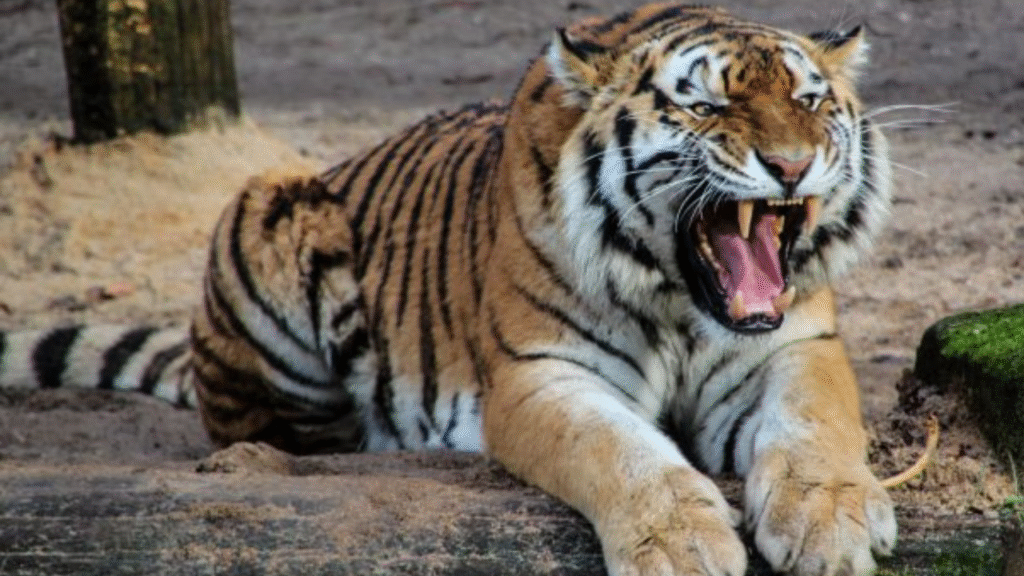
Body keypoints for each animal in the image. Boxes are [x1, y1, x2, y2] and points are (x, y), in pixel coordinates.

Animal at [0, 4, 899, 575]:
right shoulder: (540, 374)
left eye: (809, 100)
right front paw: (682, 546)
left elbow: (817, 425)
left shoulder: (795, 346)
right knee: (267, 432)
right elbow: (620, 451)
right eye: (707, 106)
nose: (792, 165)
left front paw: (832, 522)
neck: (682, 300)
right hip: (269, 206)